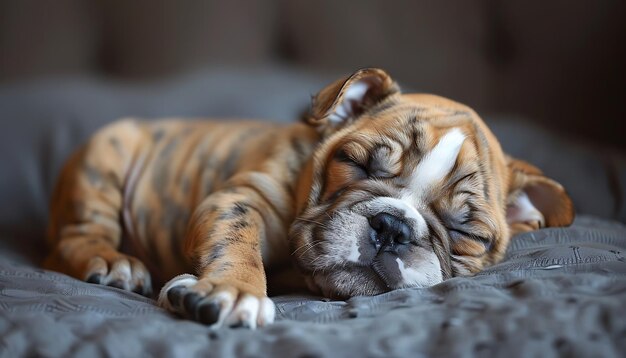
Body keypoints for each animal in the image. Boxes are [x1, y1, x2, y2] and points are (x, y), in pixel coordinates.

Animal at [42, 68, 572, 328]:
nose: (393, 228)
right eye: (357, 165)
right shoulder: (240, 200)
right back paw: (113, 261)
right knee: (75, 238)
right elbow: (236, 244)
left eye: (466, 232)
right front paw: (235, 292)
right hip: (101, 163)